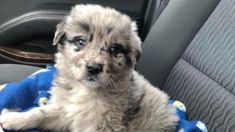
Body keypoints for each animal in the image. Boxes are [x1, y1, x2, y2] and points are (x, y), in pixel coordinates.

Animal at [0, 4, 178, 132]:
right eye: (81, 42)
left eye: (114, 50)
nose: (94, 68)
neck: (86, 90)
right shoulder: (65, 112)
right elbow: (41, 113)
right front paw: (13, 118)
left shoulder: (107, 125)